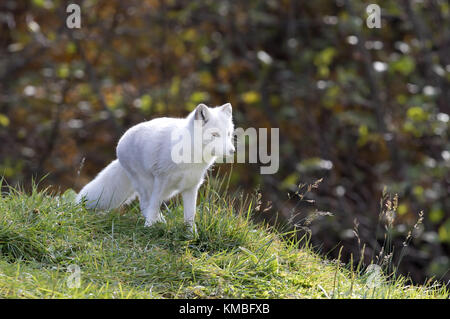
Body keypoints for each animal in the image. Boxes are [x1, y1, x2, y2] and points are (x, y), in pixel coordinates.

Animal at [76, 104, 236, 231]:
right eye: (215, 134)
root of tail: (120, 143)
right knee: (145, 203)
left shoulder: (191, 187)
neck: (190, 155)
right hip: (147, 184)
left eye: (228, 134)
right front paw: (148, 227)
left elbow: (190, 215)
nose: (232, 151)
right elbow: (154, 205)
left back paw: (161, 222)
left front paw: (192, 235)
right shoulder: (161, 179)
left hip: (166, 190)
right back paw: (156, 223)